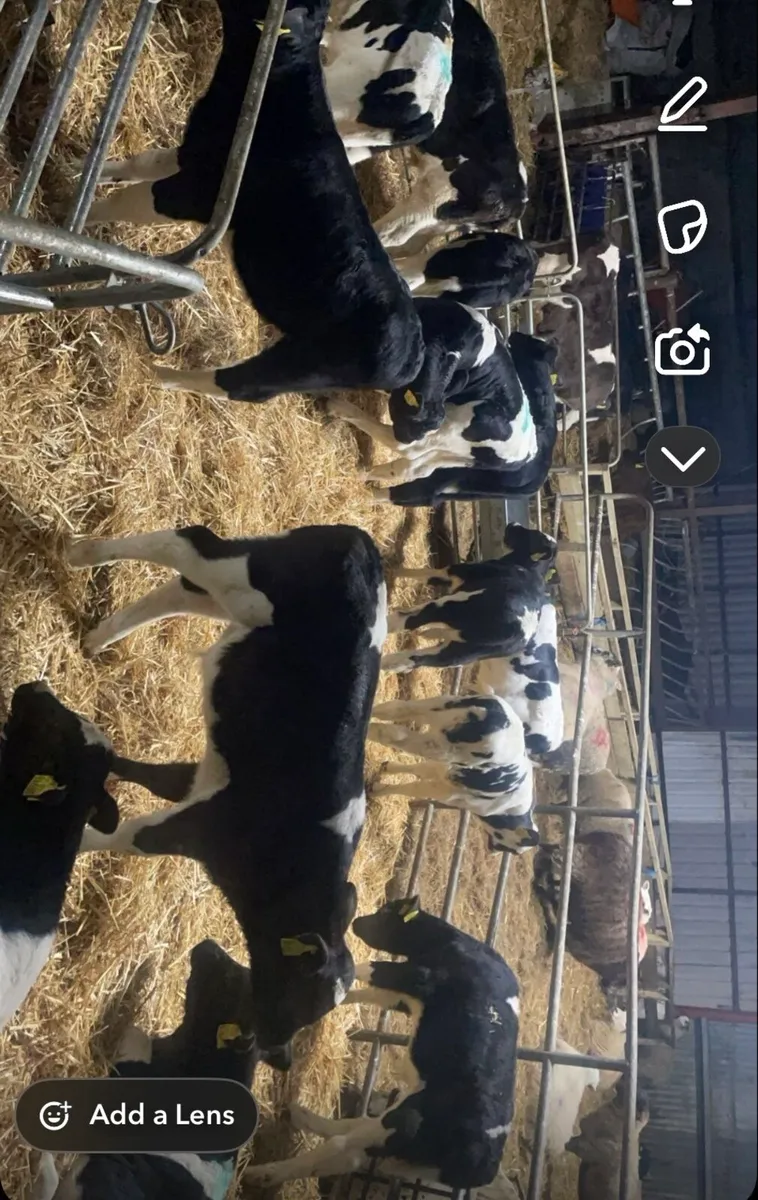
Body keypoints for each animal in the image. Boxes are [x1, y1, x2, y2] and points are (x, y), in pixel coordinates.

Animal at [66, 523, 386, 1052]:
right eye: (303, 991)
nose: (274, 1050)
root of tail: (364, 542)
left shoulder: (203, 784)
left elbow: (149, 775)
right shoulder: (203, 826)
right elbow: (129, 837)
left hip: (237, 599)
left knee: (184, 586)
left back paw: (97, 638)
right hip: (247, 578)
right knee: (187, 542)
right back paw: (84, 555)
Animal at [85, 0, 423, 405]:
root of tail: (412, 354)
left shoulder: (198, 194)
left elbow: (133, 199)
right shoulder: (194, 152)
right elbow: (141, 164)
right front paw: (92, 170)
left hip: (307, 363)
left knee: (242, 385)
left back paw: (156, 374)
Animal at [244, 898, 520, 1191]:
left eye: (385, 913)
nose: (356, 922)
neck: (450, 943)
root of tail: (481, 1168)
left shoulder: (415, 976)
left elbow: (368, 968)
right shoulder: (403, 997)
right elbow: (368, 992)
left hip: (406, 1121)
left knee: (342, 1146)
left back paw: (262, 1171)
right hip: (406, 1151)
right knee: (351, 1147)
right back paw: (294, 1123)